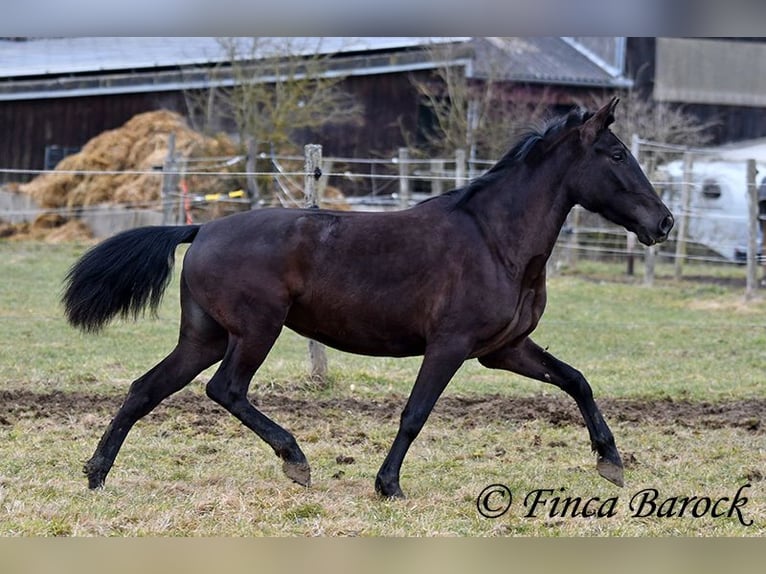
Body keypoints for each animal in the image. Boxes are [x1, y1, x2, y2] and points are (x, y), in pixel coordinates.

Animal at [64, 99, 672, 500]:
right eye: (617, 154)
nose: (663, 222)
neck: (494, 238)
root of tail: (201, 228)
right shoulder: (450, 345)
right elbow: (415, 413)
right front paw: (388, 486)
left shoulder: (504, 349)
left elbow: (576, 380)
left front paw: (612, 463)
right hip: (256, 331)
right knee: (225, 389)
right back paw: (296, 460)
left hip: (205, 336)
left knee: (146, 389)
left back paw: (96, 474)